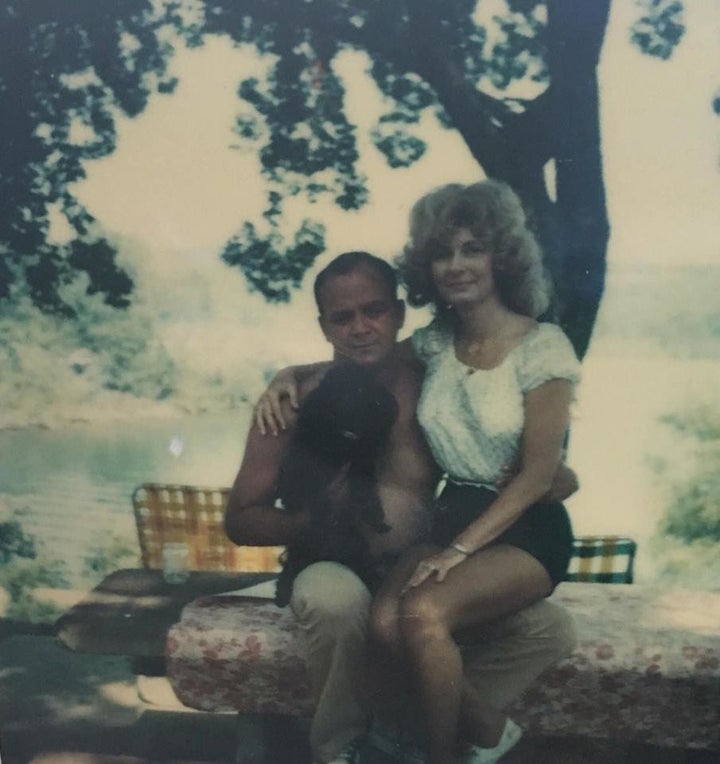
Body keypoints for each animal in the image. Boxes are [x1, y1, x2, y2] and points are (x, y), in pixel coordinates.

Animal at [276, 364, 400, 608]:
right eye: (334, 392)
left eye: (362, 392)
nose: (346, 407)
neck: (341, 443)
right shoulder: (306, 460)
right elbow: (309, 488)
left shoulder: (362, 463)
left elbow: (363, 489)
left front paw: (375, 518)